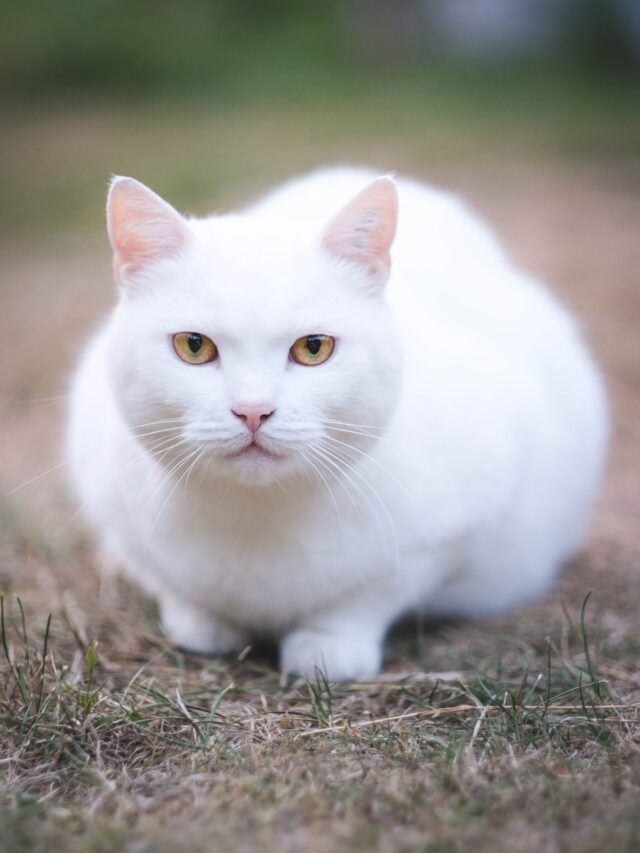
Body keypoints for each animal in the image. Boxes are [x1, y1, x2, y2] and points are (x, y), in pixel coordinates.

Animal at [67, 168, 608, 680]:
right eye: (193, 346)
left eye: (313, 348)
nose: (253, 410)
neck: (258, 519)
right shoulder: (115, 507)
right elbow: (172, 584)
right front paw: (201, 623)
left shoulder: (449, 533)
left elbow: (369, 596)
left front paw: (328, 646)